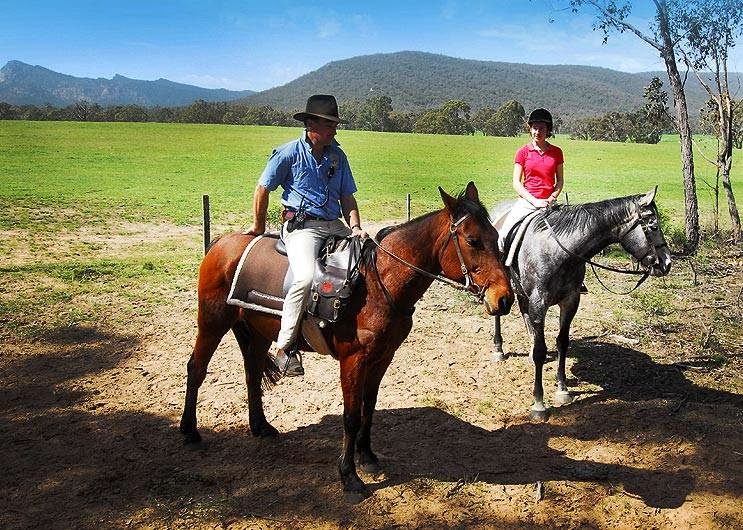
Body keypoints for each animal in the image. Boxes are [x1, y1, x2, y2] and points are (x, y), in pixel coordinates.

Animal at [183, 182, 516, 496]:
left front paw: (367, 456)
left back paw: (260, 426)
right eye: (472, 241)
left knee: (252, 371)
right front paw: (349, 476)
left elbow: (369, 406)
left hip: (259, 331)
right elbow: (351, 415)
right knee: (196, 369)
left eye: (496, 238)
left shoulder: (383, 356)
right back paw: (189, 431)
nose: (504, 298)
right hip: (212, 322)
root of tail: (221, 243)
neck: (378, 282)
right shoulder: (353, 359)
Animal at [494, 188, 676, 418]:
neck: (557, 251)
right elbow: (541, 350)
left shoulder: (570, 301)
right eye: (653, 226)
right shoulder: (539, 303)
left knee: (526, 317)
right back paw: (498, 349)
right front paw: (539, 404)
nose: (667, 262)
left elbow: (562, 342)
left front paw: (562, 390)